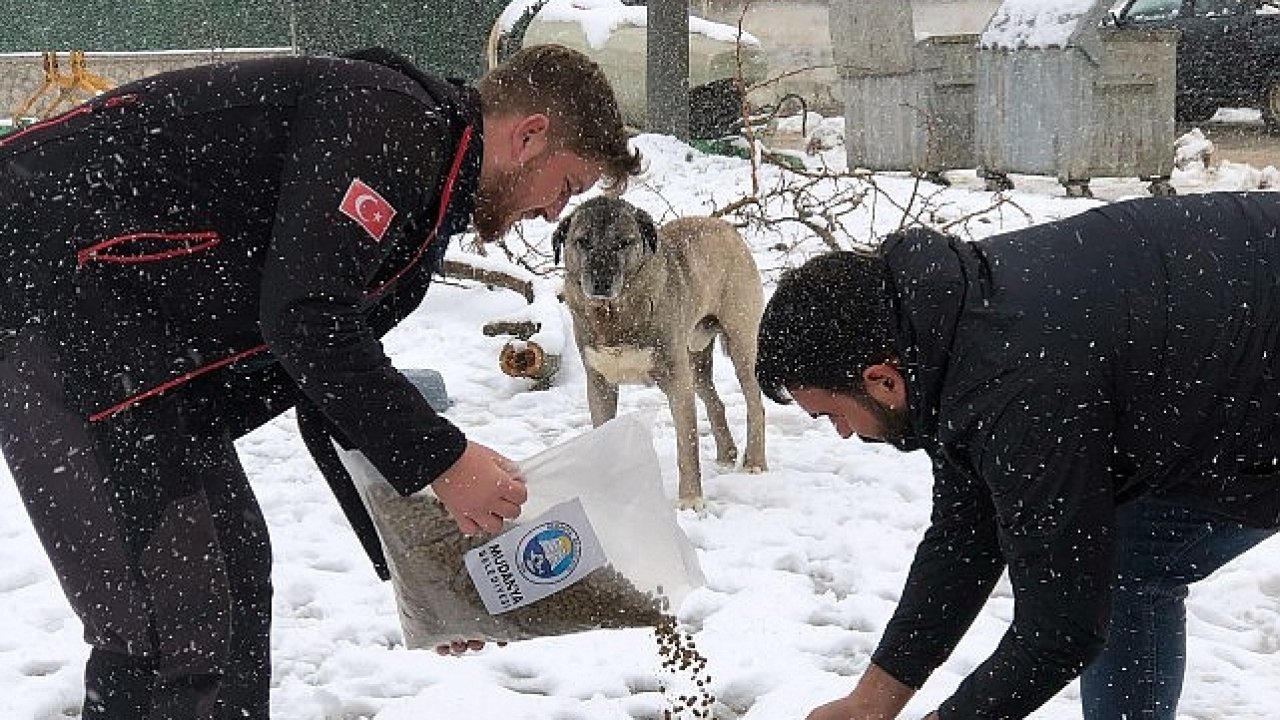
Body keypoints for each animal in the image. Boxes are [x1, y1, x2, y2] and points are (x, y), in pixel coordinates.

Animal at [552, 194, 768, 504]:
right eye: (583, 241)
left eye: (624, 242)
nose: (601, 282)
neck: (614, 315)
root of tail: (726, 226)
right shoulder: (600, 384)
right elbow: (603, 429)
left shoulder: (677, 382)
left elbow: (686, 445)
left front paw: (690, 500)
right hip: (694, 362)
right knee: (715, 401)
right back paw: (726, 454)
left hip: (740, 344)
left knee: (755, 404)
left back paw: (755, 462)